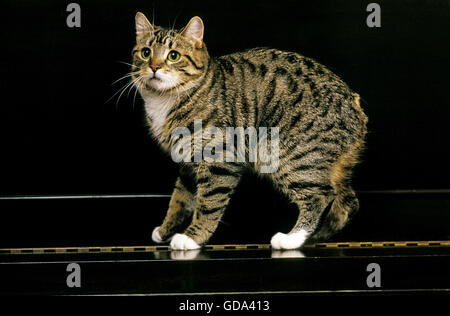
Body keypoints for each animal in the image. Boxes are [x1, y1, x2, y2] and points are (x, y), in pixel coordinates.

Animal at [128, 11, 368, 249]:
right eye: (146, 52)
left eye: (173, 55)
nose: (154, 67)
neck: (165, 101)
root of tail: (354, 104)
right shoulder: (187, 162)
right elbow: (179, 200)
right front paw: (166, 230)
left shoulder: (220, 159)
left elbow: (208, 204)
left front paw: (192, 237)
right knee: (349, 201)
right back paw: (319, 235)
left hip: (289, 156)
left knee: (320, 195)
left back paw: (292, 238)